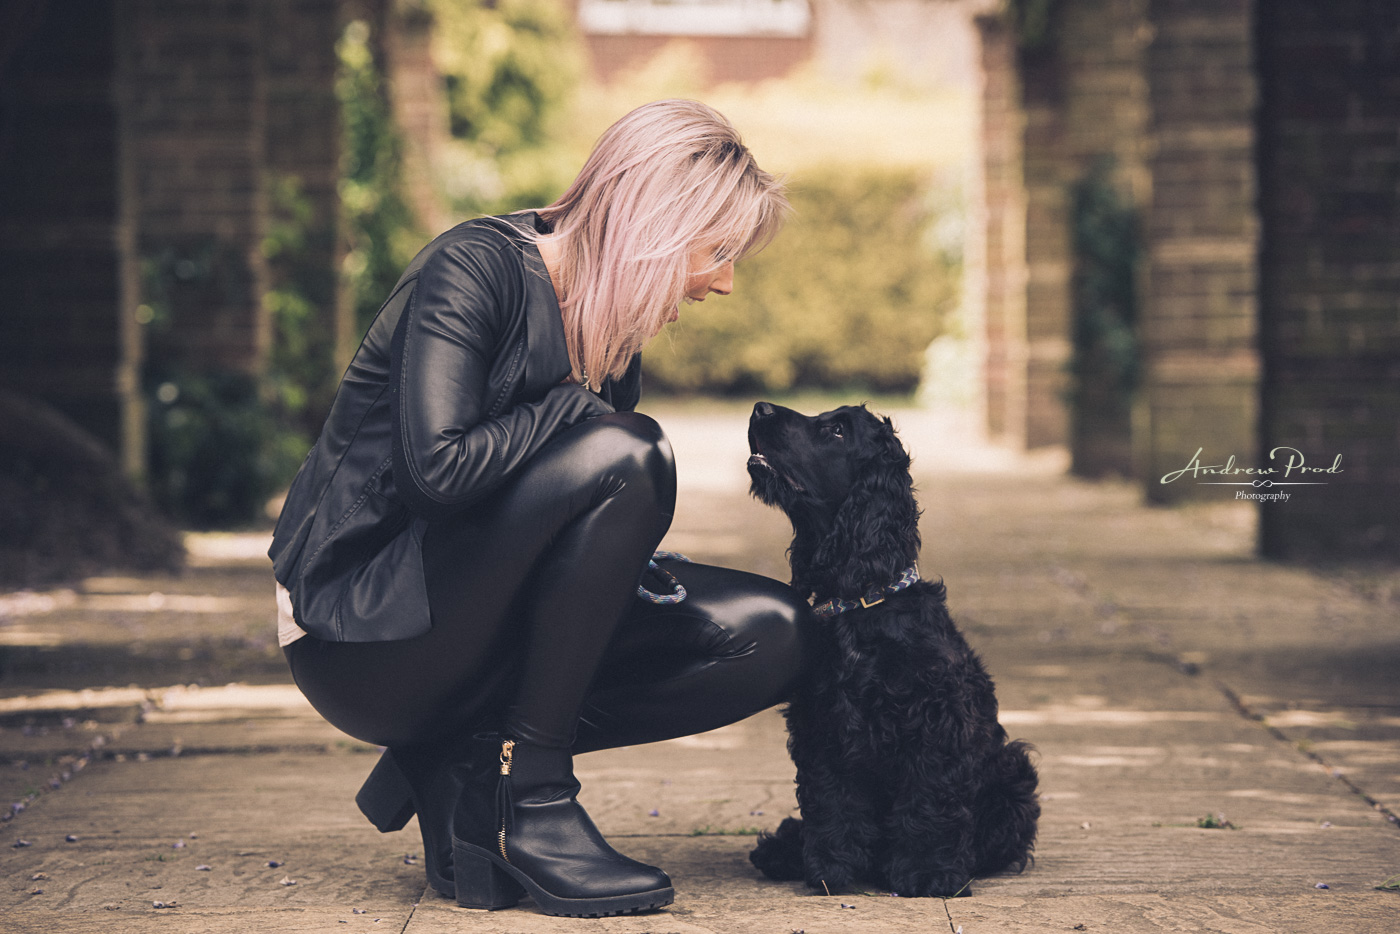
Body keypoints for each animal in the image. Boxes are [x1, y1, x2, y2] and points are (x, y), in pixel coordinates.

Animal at [744, 403, 1041, 896]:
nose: (759, 408)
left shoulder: (934, 723)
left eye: (836, 430)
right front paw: (832, 870)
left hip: (1014, 771)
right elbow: (832, 801)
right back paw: (784, 851)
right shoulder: (822, 724)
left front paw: (928, 873)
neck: (861, 603)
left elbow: (927, 803)